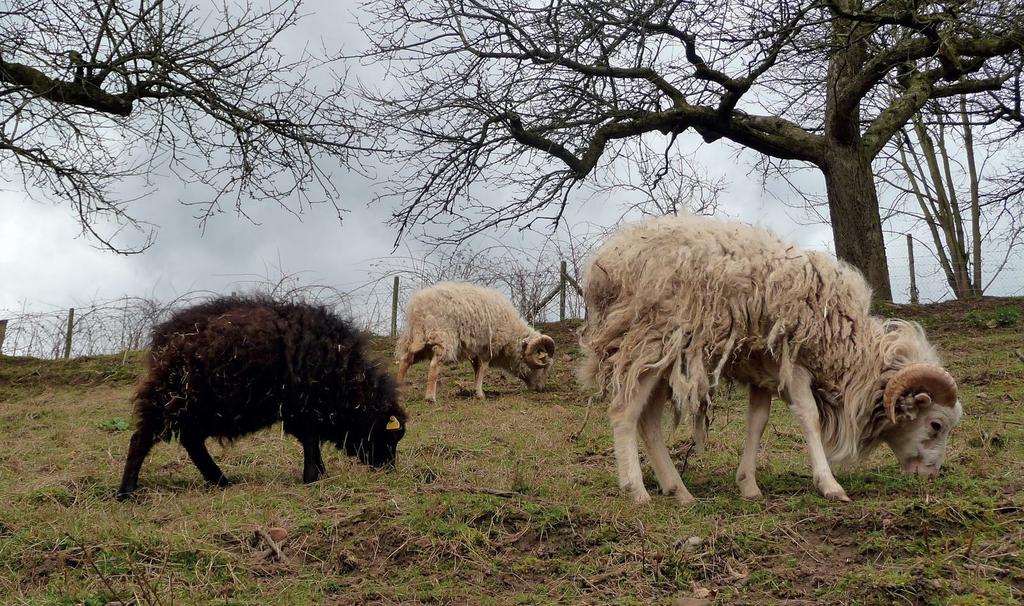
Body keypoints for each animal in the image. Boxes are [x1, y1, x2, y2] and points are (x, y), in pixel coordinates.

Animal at [117, 292, 405, 497]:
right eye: (389, 436)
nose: (389, 471)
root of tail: (163, 337)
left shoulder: (301, 410)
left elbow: (310, 443)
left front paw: (318, 474)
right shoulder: (303, 407)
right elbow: (311, 442)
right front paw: (313, 477)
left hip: (198, 407)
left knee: (192, 441)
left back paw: (219, 481)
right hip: (172, 396)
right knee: (141, 439)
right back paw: (126, 492)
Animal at [395, 280, 557, 403]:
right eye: (543, 365)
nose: (541, 389)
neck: (512, 335)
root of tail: (418, 307)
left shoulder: (475, 349)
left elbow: (476, 369)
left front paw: (475, 391)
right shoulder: (488, 347)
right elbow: (483, 369)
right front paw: (480, 394)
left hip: (419, 339)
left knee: (406, 359)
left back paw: (398, 392)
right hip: (441, 337)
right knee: (434, 365)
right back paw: (430, 398)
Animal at [581, 214, 962, 503]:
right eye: (935, 424)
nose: (931, 476)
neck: (850, 348)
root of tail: (602, 266)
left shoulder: (763, 368)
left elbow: (758, 422)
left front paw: (748, 485)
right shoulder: (794, 363)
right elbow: (809, 418)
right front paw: (830, 485)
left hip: (666, 361)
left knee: (649, 423)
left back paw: (680, 491)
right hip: (650, 339)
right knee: (624, 412)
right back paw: (637, 490)